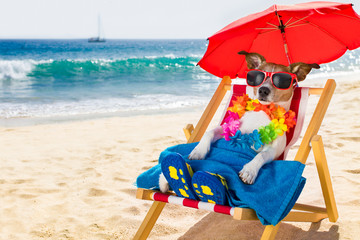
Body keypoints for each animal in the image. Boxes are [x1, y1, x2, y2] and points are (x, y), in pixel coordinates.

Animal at [159, 51, 320, 193]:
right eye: (258, 76)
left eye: (281, 81)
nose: (263, 90)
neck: (262, 112)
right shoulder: (227, 129)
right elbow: (209, 133)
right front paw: (199, 151)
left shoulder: (274, 150)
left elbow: (261, 155)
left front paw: (249, 170)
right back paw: (168, 177)